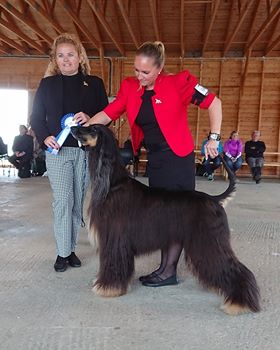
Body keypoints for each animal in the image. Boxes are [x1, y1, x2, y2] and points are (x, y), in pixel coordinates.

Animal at [70, 125, 260, 314]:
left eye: (92, 129)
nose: (72, 127)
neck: (112, 184)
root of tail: (214, 199)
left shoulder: (115, 240)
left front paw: (108, 288)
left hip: (209, 241)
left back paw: (239, 302)